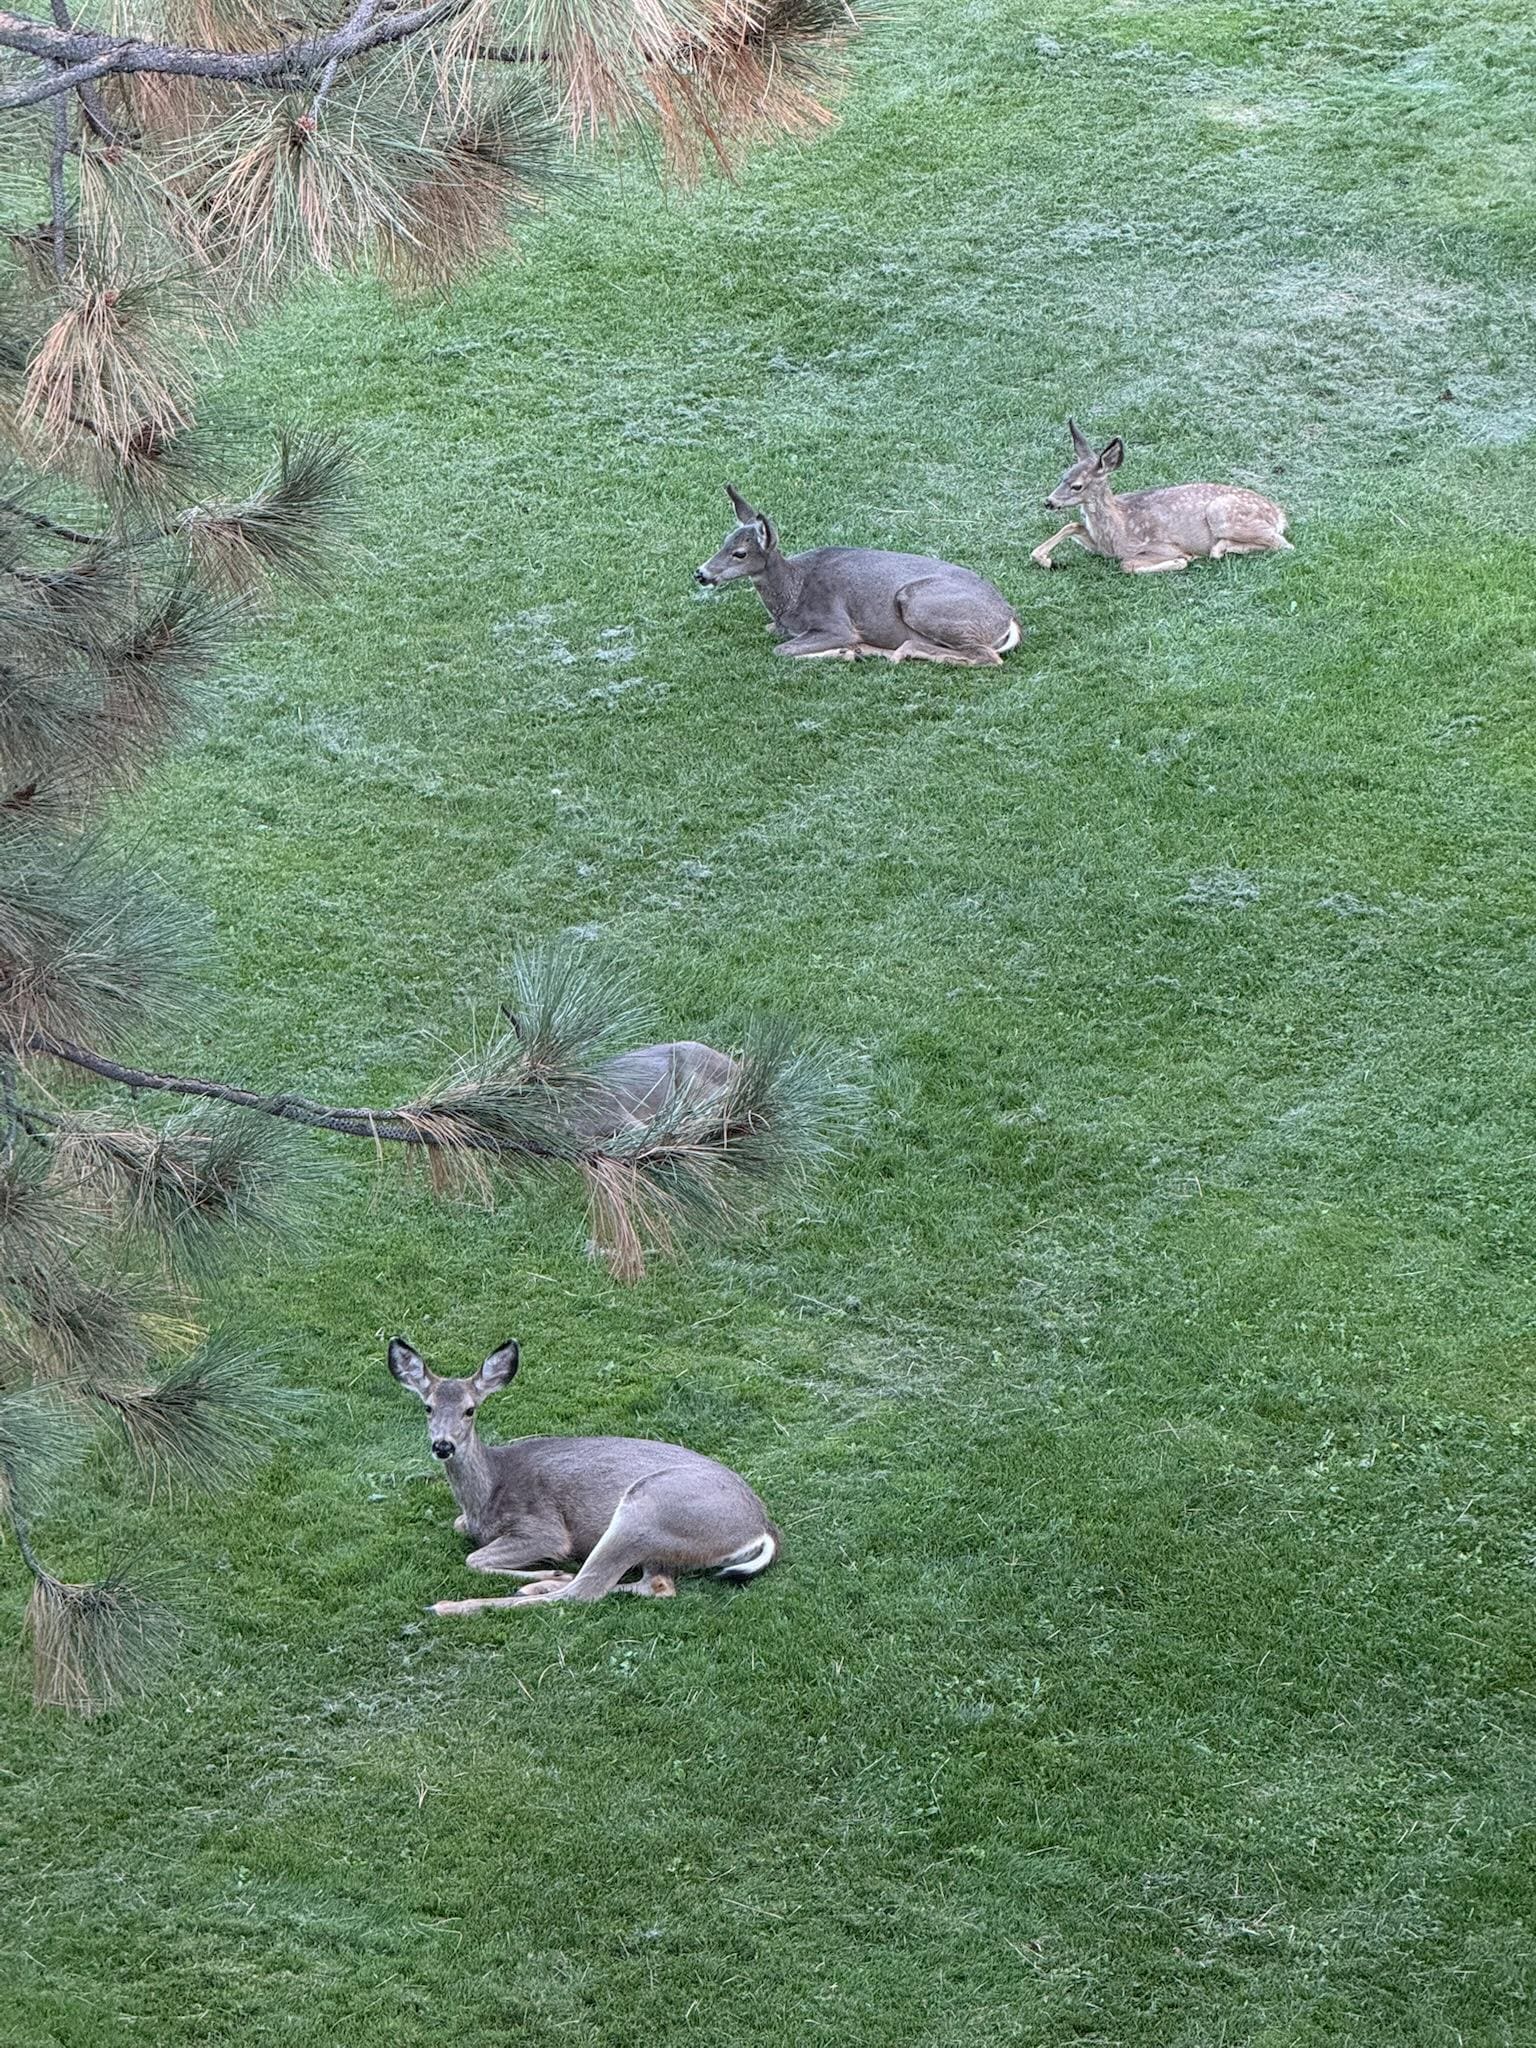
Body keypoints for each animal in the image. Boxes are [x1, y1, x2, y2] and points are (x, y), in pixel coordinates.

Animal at [387, 1337, 783, 1611]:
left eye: (470, 1410)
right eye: (428, 1407)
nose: (443, 1446)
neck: (487, 1495)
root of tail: (762, 1528)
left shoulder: (542, 1527)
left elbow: (474, 1559)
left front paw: (549, 1569)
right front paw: (544, 1575)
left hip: (648, 1508)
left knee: (584, 1591)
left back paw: (449, 1606)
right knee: (656, 1585)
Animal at [696, 483, 1023, 665]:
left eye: (740, 553)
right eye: (725, 540)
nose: (701, 573)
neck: (792, 595)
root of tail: (1009, 617)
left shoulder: (834, 622)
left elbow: (782, 650)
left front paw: (846, 652)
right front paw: (851, 652)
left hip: (920, 603)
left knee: (987, 656)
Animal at [1032, 421, 1291, 574]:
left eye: (1077, 486)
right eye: (1063, 476)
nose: (1049, 501)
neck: (1116, 530)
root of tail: (1278, 514)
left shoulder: (1158, 546)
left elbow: (1127, 564)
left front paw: (1182, 560)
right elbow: (1073, 525)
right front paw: (1045, 559)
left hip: (1223, 515)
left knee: (1282, 544)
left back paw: (1220, 547)